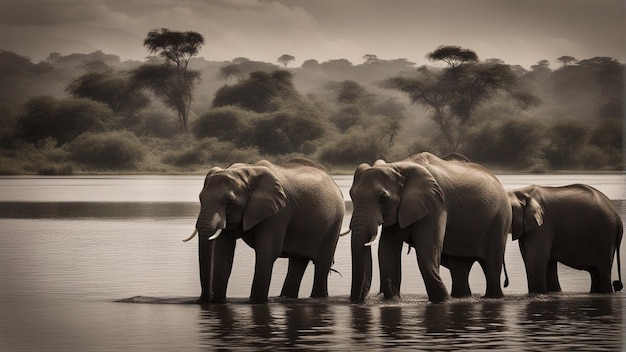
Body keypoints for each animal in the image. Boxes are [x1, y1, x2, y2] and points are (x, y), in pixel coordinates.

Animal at [183, 158, 344, 304]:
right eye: (200, 198)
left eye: (231, 202)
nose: (203, 300)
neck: (245, 172)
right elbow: (223, 254)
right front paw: (218, 301)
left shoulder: (279, 213)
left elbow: (267, 251)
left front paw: (256, 302)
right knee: (297, 263)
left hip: (334, 222)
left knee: (322, 263)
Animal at [348, 153, 510, 304]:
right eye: (351, 195)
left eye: (383, 198)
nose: (359, 300)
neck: (398, 166)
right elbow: (387, 251)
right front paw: (393, 300)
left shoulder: (437, 205)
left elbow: (426, 251)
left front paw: (442, 301)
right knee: (460, 267)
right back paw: (461, 297)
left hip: (499, 220)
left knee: (492, 266)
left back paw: (493, 297)